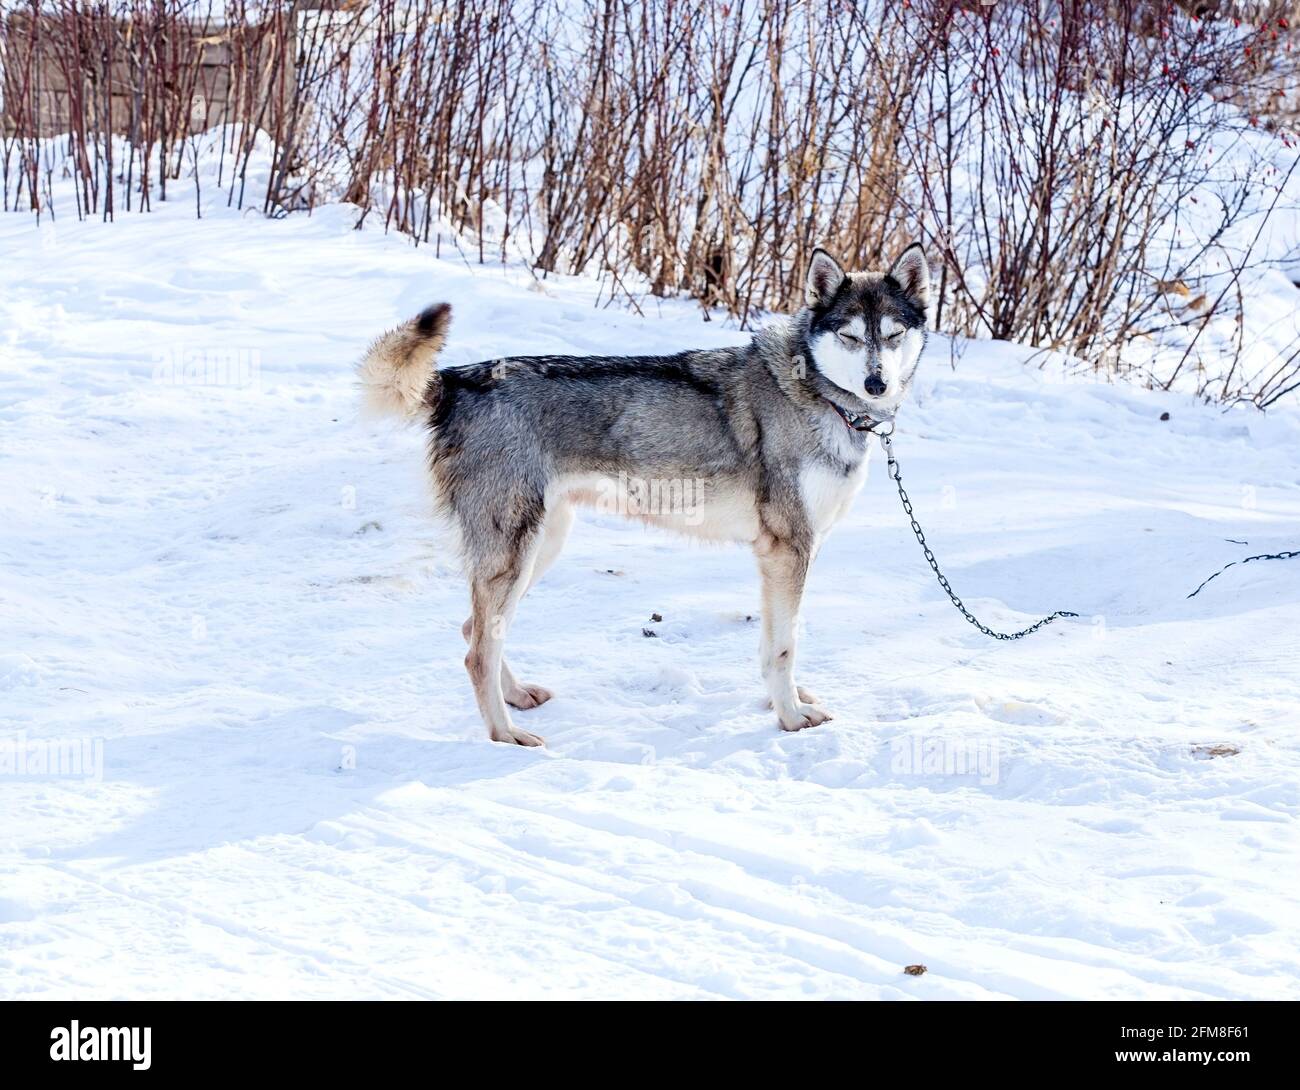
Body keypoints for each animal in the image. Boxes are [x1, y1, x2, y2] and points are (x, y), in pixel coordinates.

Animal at [361, 244, 930, 749]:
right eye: (851, 336)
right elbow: (784, 648)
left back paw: (518, 697)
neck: (818, 393)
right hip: (516, 553)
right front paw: (789, 718)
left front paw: (784, 701)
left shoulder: (789, 554)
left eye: (893, 335)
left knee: (472, 631)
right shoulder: (786, 550)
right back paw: (507, 735)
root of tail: (455, 381)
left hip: (541, 546)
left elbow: (775, 642)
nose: (877, 383)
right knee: (477, 651)